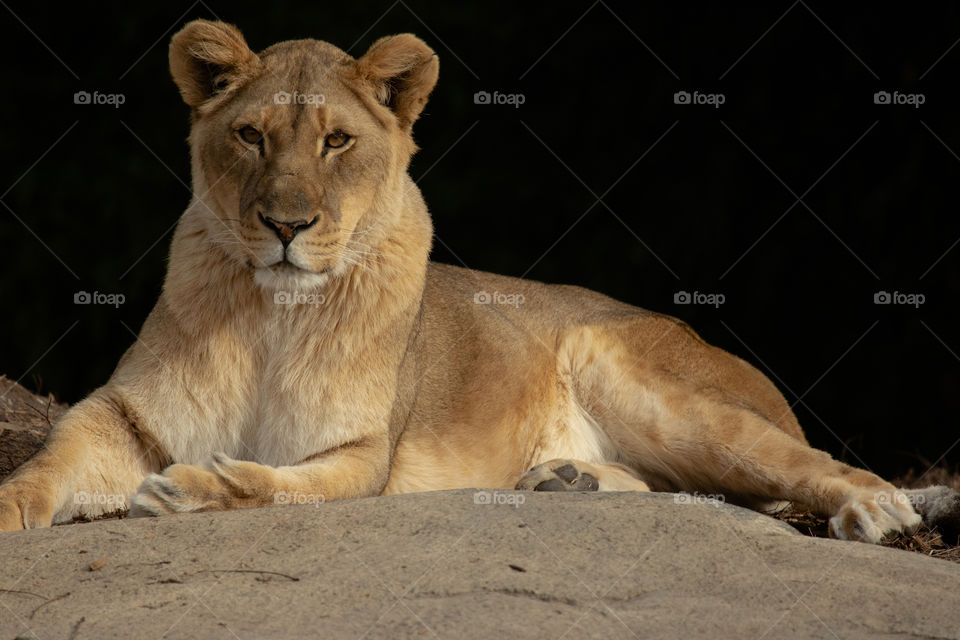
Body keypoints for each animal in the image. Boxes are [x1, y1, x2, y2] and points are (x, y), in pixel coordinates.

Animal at [1, 20, 957, 544]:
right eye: (250, 137)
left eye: (337, 142)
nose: (286, 226)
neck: (275, 313)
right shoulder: (125, 412)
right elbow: (51, 461)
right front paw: (11, 506)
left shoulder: (363, 454)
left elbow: (269, 483)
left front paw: (191, 490)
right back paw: (567, 482)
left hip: (638, 373)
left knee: (803, 463)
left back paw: (878, 510)